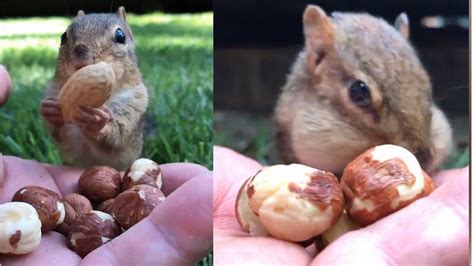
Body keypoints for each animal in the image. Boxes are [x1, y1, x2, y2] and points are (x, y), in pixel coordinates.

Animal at [40, 7, 149, 171]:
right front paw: (52, 112)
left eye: (121, 36)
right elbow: (66, 139)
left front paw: (95, 122)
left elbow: (114, 138)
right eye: (63, 36)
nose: (81, 54)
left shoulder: (134, 106)